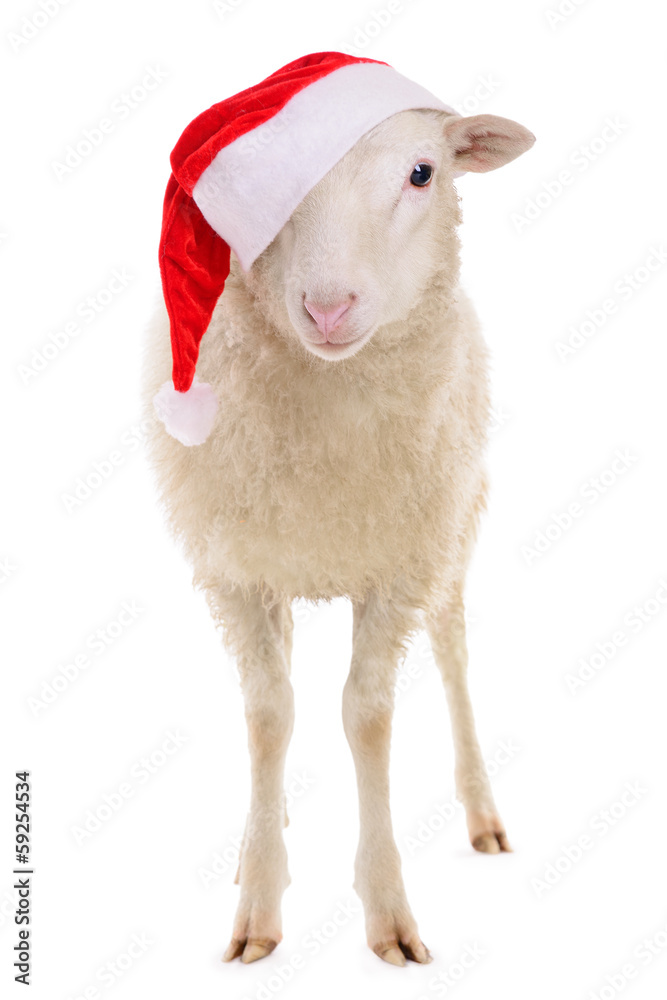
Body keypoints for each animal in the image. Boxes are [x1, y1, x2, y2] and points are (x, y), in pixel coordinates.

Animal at [143, 105, 535, 967]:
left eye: (423, 172)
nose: (326, 309)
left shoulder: (397, 568)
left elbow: (366, 718)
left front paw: (387, 912)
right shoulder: (237, 571)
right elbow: (268, 716)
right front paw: (258, 899)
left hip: (452, 532)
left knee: (454, 656)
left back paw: (482, 814)